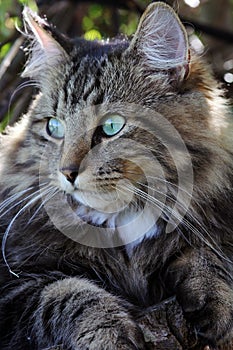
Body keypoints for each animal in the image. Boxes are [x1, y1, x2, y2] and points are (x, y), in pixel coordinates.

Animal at [0, 2, 233, 350]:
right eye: (54, 127)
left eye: (111, 127)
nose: (66, 172)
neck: (121, 223)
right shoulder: (14, 284)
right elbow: (69, 294)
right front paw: (109, 334)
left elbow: (205, 257)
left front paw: (218, 302)